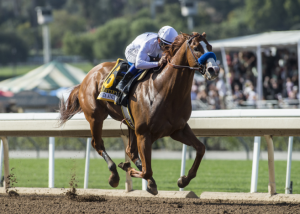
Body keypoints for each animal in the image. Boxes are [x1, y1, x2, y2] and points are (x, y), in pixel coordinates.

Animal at [58, 32, 219, 196]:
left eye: (210, 47)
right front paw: (128, 169)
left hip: (130, 124)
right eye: (196, 48)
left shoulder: (178, 130)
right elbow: (147, 170)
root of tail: (86, 77)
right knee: (98, 144)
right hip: (95, 117)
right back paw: (114, 175)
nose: (214, 69)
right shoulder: (144, 133)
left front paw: (183, 180)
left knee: (130, 151)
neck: (165, 90)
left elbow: (201, 148)